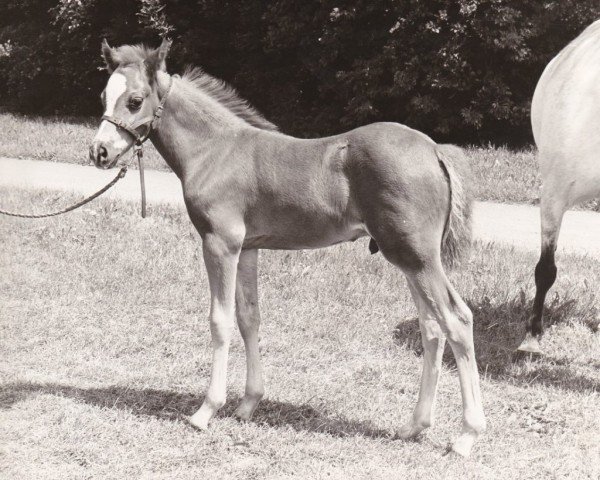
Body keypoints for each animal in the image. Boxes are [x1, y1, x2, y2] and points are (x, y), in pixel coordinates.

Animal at [90, 39, 488, 456]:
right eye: (103, 96)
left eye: (135, 100)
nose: (98, 152)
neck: (215, 150)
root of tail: (435, 150)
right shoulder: (247, 248)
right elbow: (249, 317)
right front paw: (248, 404)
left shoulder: (220, 244)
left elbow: (220, 320)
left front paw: (205, 411)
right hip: (410, 260)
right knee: (432, 328)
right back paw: (414, 426)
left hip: (418, 258)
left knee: (458, 320)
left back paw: (466, 434)